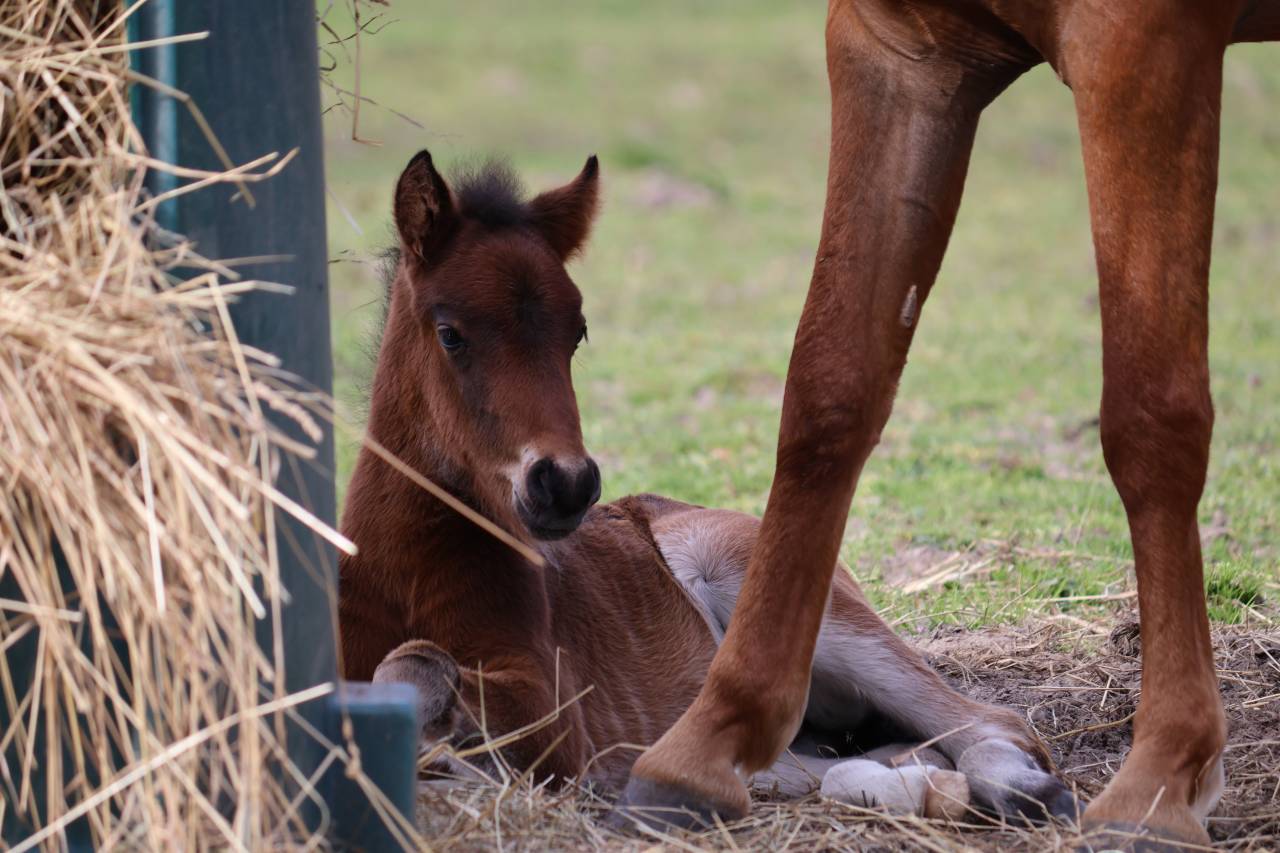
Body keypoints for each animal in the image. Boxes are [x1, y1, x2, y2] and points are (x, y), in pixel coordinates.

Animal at [336, 150, 1076, 823]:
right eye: (450, 332)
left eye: (577, 332)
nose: (565, 484)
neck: (407, 566)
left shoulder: (554, 714)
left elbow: (417, 662)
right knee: (844, 761)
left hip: (790, 598)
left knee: (992, 721)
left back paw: (1023, 790)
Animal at [617, 0, 1280, 847]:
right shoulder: (897, 49)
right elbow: (829, 384)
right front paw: (709, 743)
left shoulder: (1142, 44)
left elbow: (1150, 410)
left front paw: (1162, 778)